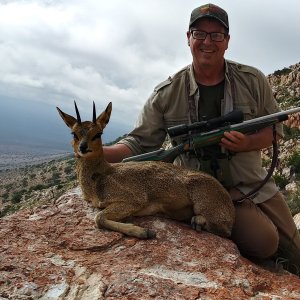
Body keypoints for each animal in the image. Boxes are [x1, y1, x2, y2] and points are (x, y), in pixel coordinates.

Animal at [56, 102, 234, 238]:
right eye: (74, 133)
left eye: (98, 133)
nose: (83, 147)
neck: (99, 179)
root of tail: (229, 202)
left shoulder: (134, 200)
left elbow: (98, 218)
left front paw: (144, 232)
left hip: (205, 204)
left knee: (224, 231)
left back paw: (196, 221)